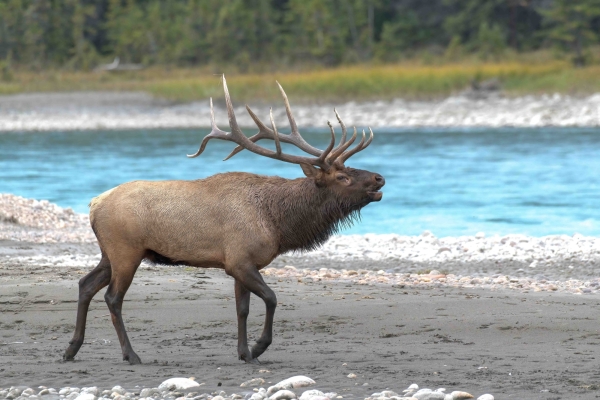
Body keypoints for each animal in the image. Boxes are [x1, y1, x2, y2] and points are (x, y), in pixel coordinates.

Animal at [64, 76, 384, 366]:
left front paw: (244, 353)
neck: (277, 224)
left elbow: (241, 308)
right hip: (126, 251)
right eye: (342, 177)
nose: (379, 178)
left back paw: (71, 349)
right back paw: (130, 354)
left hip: (110, 253)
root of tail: (93, 204)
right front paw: (258, 348)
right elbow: (271, 298)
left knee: (85, 284)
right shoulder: (239, 260)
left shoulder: (243, 263)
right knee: (112, 297)